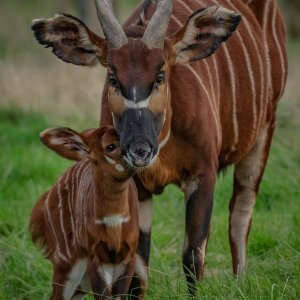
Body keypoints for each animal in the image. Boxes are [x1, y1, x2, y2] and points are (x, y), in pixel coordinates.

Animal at [31, 0, 288, 296]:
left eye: (160, 74)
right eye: (113, 77)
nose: (139, 149)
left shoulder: (203, 174)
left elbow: (193, 255)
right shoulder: (138, 188)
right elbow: (138, 268)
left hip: (265, 129)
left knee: (241, 213)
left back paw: (240, 283)